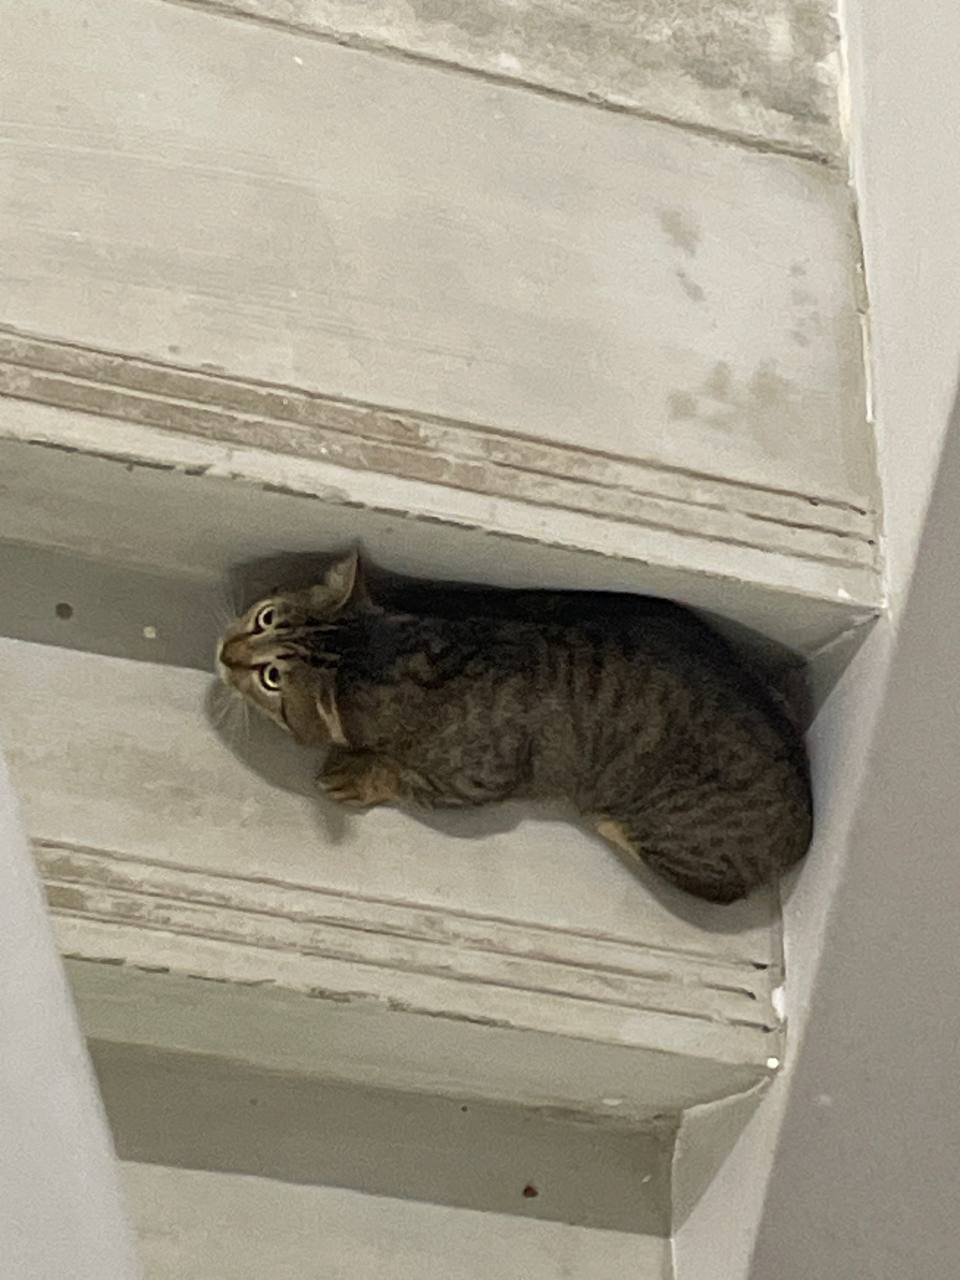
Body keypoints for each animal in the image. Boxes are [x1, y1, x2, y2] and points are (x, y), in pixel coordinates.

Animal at [218, 552, 813, 903]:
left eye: (271, 678)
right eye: (265, 617)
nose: (224, 653)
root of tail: (805, 829)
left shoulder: (475, 782)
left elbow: (404, 779)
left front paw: (358, 773)